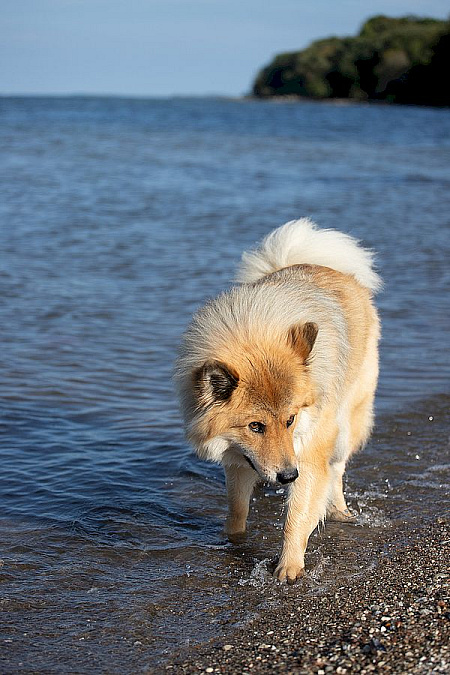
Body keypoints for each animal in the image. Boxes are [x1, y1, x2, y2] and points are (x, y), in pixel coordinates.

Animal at [175, 219, 380, 584]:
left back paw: (339, 510)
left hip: (346, 426)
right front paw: (232, 539)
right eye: (256, 426)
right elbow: (237, 508)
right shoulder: (240, 458)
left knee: (337, 469)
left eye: (290, 420)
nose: (287, 477)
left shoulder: (309, 454)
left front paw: (289, 567)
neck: (257, 330)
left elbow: (296, 516)